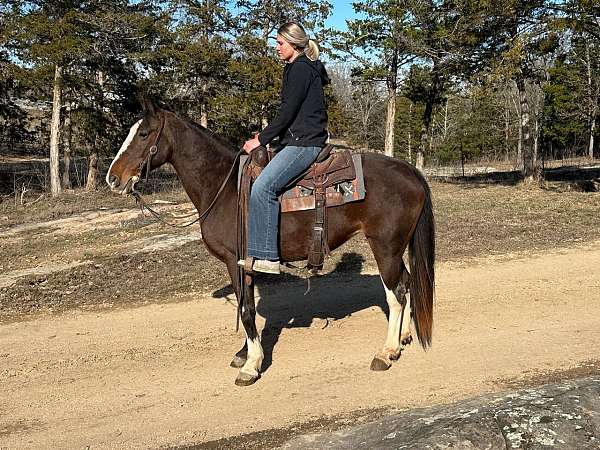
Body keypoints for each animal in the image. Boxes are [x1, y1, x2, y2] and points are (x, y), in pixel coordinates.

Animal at [106, 99, 436, 386]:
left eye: (144, 133)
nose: (113, 178)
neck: (223, 186)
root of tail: (410, 170)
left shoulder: (234, 259)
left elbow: (246, 310)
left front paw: (251, 366)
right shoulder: (244, 263)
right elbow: (246, 305)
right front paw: (244, 354)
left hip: (385, 247)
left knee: (396, 294)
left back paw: (386, 352)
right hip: (396, 247)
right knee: (407, 282)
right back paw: (403, 338)